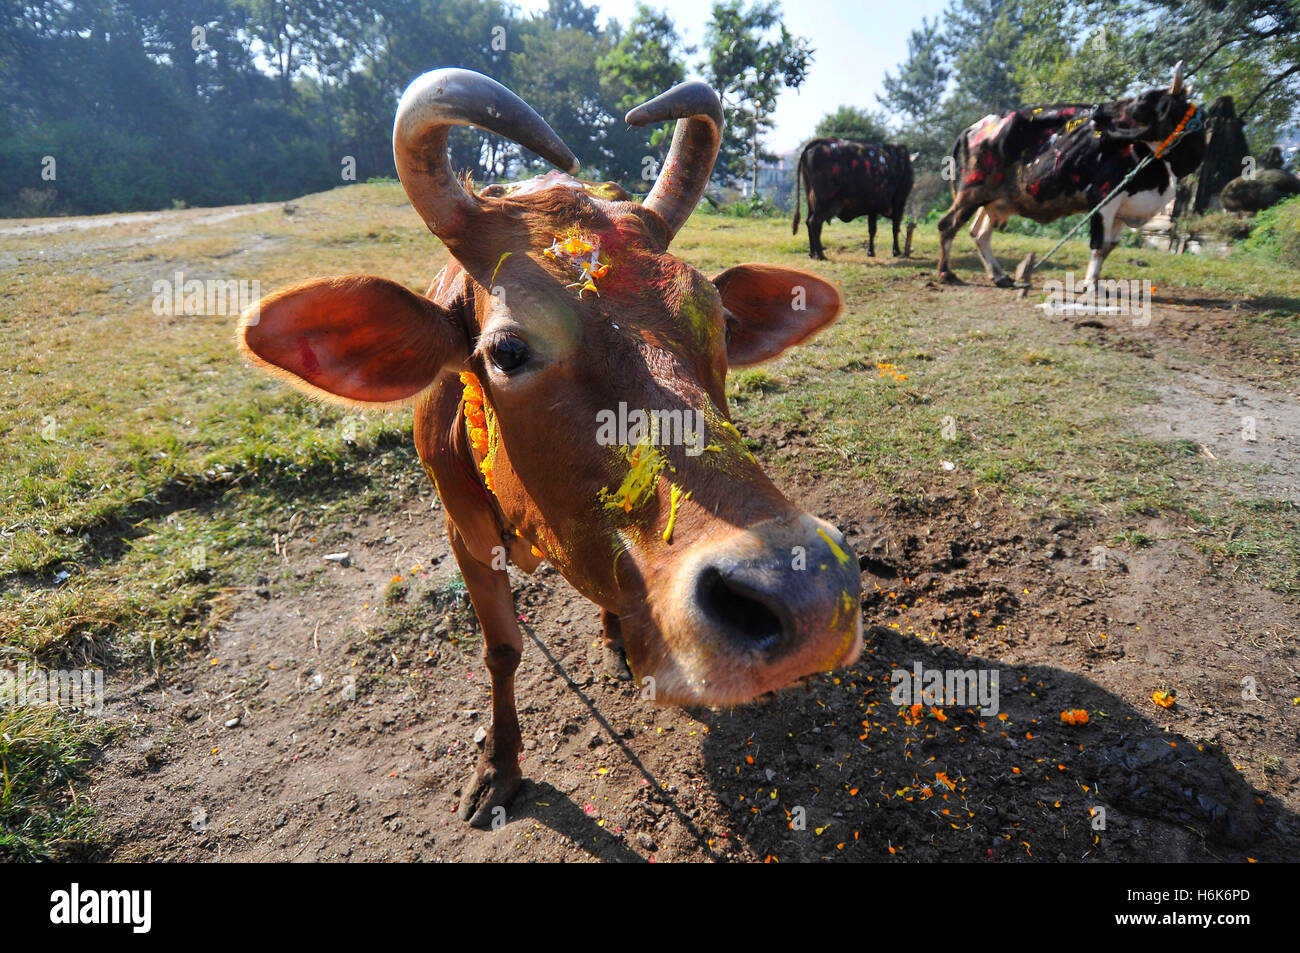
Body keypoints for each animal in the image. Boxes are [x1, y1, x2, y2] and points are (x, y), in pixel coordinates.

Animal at [237, 69, 863, 826]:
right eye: (508, 350)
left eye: (718, 322)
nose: (809, 593)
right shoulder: (464, 537)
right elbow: (502, 649)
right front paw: (498, 767)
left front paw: (616, 640)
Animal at [937, 63, 1206, 290]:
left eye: (1142, 98)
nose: (1097, 109)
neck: (1164, 168)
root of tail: (975, 126)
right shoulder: (1103, 197)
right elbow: (1098, 245)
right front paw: (1089, 286)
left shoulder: (1123, 208)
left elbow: (1109, 247)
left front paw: (1095, 282)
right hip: (972, 191)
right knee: (948, 225)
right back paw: (947, 273)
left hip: (994, 199)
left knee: (979, 234)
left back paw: (1000, 276)